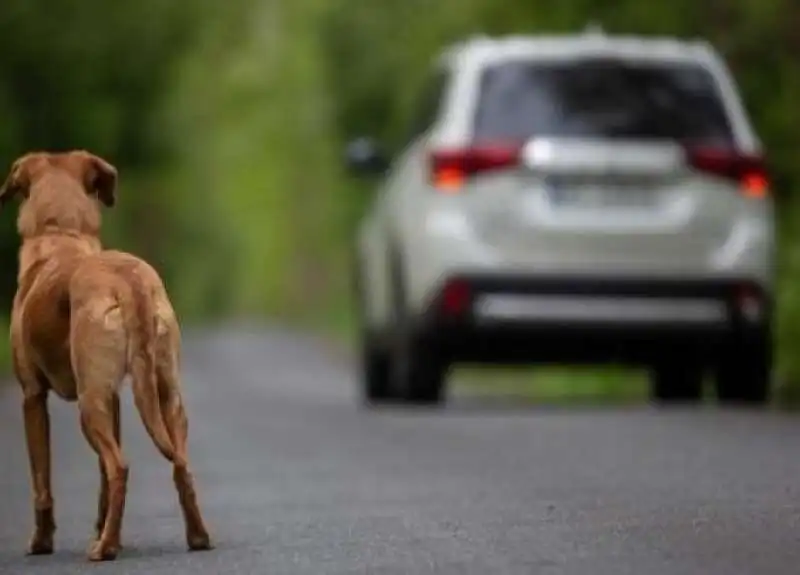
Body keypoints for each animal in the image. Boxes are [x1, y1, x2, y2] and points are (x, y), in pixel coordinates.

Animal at [0, 152, 212, 564]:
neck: (61, 233)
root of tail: (128, 280)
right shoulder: (113, 398)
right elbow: (98, 480)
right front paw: (99, 528)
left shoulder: (32, 397)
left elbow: (42, 482)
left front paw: (41, 543)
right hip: (166, 396)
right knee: (180, 465)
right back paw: (195, 537)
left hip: (89, 402)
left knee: (120, 466)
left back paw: (106, 549)